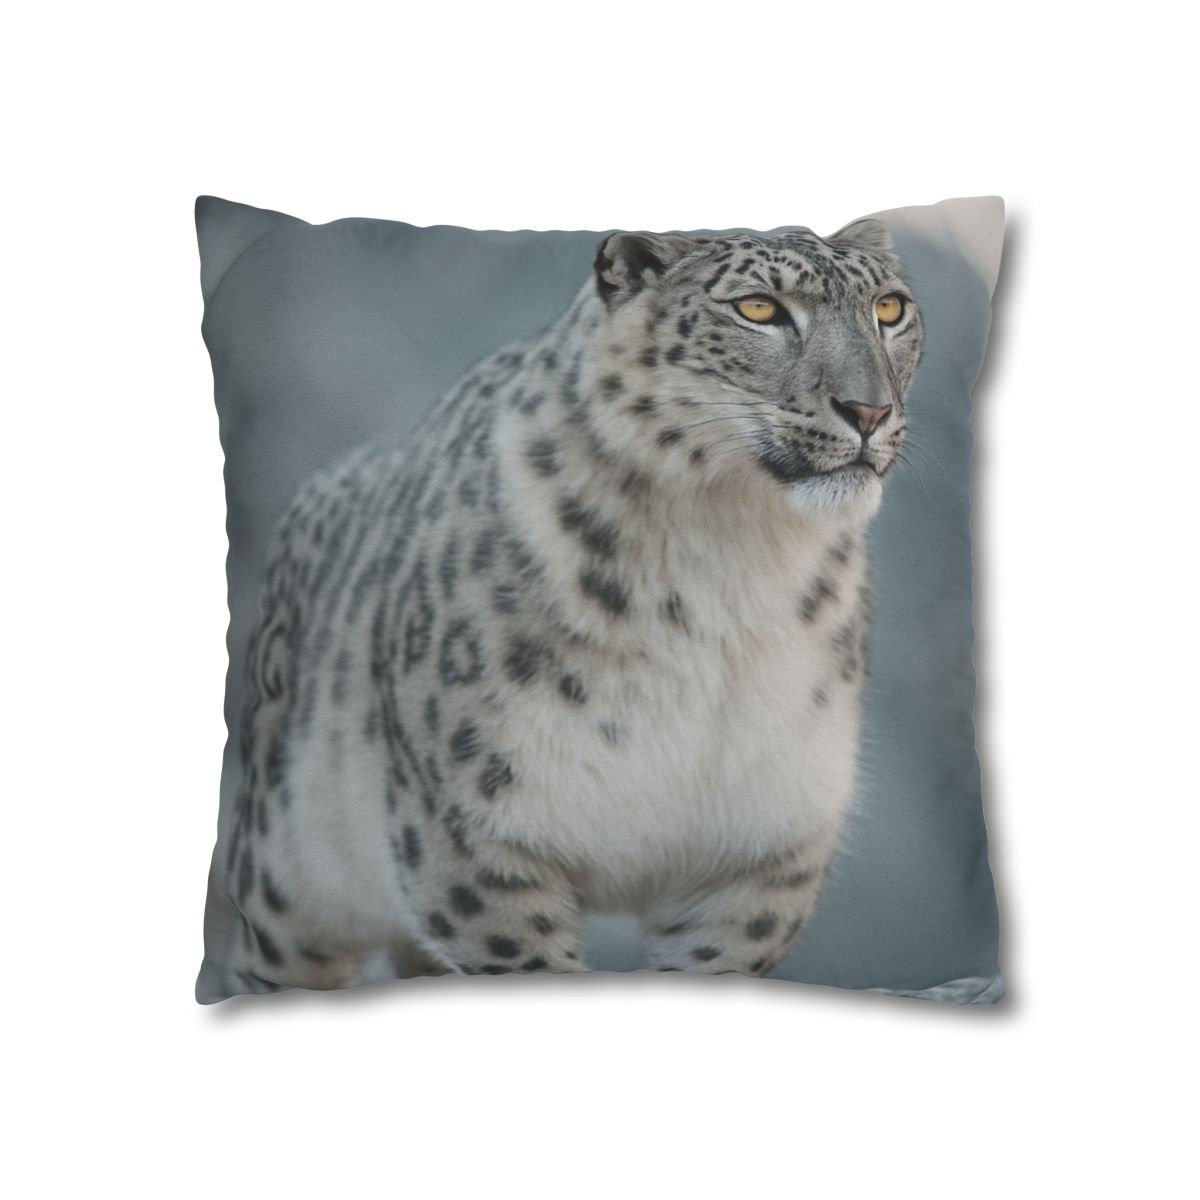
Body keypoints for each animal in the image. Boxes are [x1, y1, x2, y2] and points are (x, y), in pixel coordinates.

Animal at [215, 217, 924, 994]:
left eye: (890, 309)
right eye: (759, 308)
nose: (869, 410)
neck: (733, 562)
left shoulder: (763, 849)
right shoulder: (474, 831)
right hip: (286, 878)